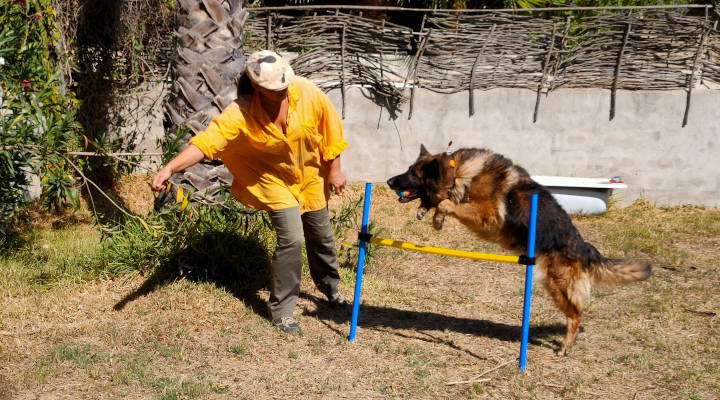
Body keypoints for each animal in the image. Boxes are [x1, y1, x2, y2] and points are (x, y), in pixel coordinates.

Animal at [388, 145, 652, 354]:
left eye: (413, 173)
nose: (389, 181)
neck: (457, 172)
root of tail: (584, 247)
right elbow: (441, 202)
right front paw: (427, 212)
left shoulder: (485, 215)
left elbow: (446, 203)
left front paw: (437, 217)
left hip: (557, 285)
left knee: (576, 315)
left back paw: (566, 345)